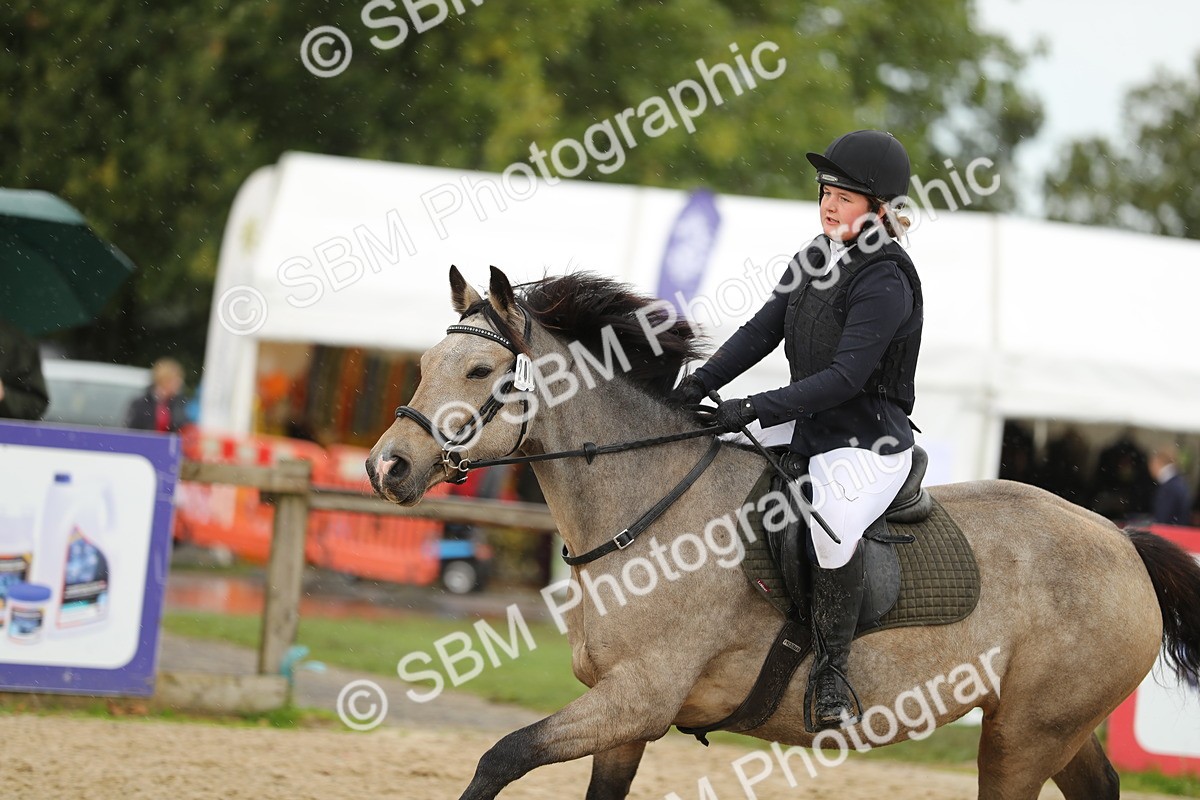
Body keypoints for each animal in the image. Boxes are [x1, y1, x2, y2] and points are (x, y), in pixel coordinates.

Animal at [367, 265, 1200, 800]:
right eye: (426, 362)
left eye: (480, 372)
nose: (387, 467)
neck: (645, 510)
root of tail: (1122, 541)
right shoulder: (625, 718)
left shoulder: (638, 699)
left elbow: (499, 758)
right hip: (1051, 728)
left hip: (1025, 738)